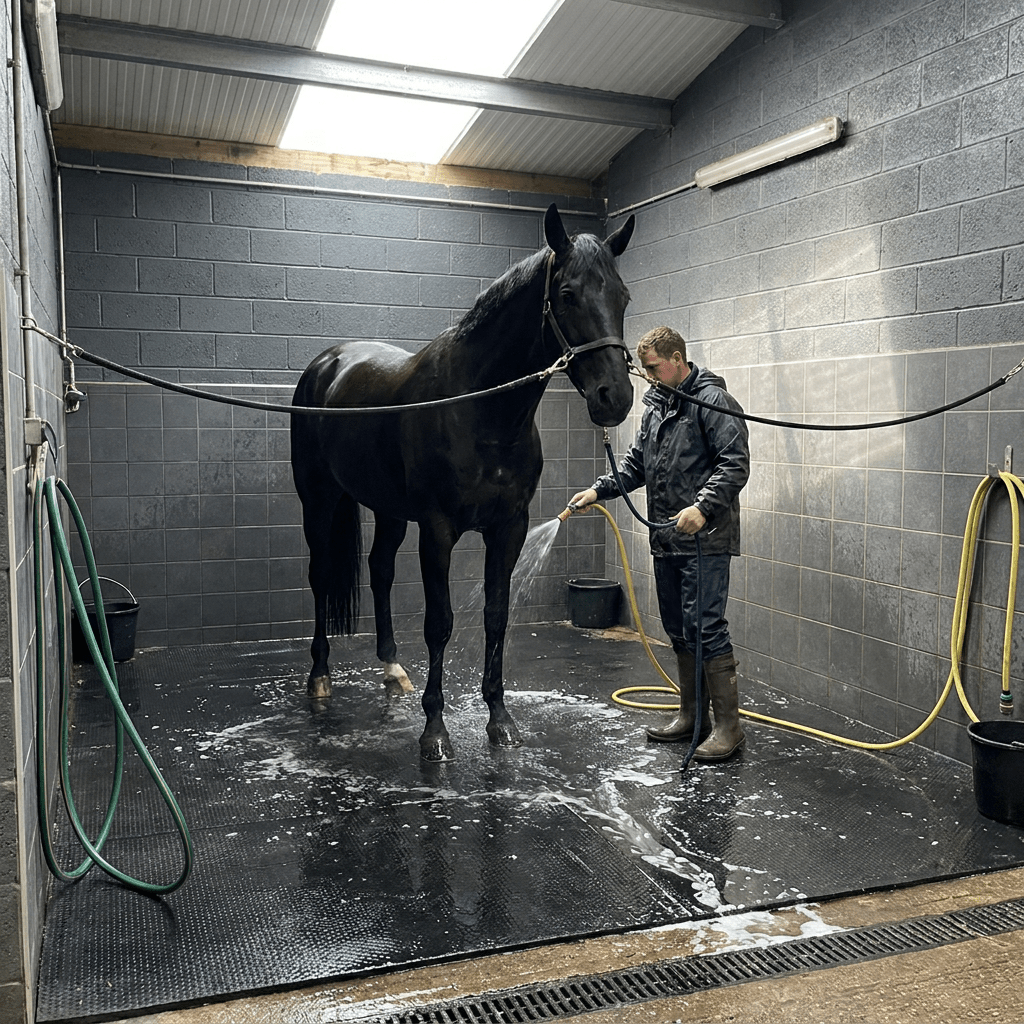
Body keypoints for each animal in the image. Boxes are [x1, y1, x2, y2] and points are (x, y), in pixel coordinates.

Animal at [290, 204, 635, 761]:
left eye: (622, 296)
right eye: (567, 295)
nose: (615, 397)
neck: (481, 409)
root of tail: (326, 364)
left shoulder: (509, 528)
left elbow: (496, 614)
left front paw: (500, 720)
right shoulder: (438, 529)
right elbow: (441, 622)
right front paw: (435, 732)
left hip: (388, 509)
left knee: (379, 571)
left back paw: (392, 670)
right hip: (318, 500)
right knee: (320, 576)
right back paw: (319, 676)